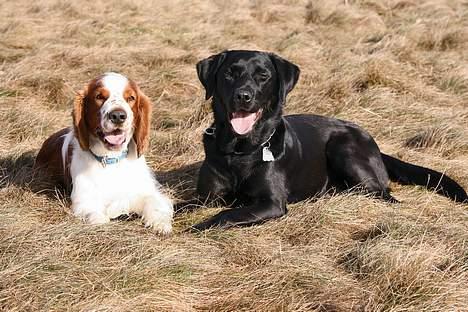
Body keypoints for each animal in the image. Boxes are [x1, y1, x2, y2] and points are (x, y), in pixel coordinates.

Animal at [34, 72, 173, 234]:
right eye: (99, 96)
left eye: (131, 98)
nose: (118, 115)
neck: (111, 160)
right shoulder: (83, 201)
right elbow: (97, 217)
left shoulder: (147, 192)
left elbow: (155, 203)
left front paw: (160, 224)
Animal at [188, 48, 466, 229]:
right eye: (230, 74)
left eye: (263, 76)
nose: (243, 96)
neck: (240, 150)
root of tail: (374, 143)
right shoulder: (206, 197)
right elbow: (185, 204)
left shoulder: (272, 203)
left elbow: (226, 214)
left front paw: (196, 227)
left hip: (343, 148)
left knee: (383, 194)